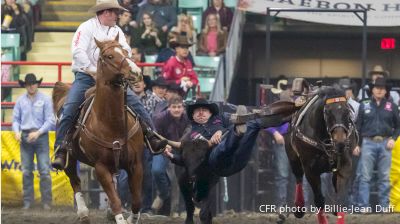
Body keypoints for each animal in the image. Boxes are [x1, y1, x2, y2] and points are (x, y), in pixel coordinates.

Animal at [52, 34, 144, 223]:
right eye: (109, 56)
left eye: (125, 51)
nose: (136, 72)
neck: (111, 122)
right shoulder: (101, 167)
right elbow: (116, 201)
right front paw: (119, 217)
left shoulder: (136, 164)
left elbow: (136, 200)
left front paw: (131, 218)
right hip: (69, 157)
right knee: (75, 181)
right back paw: (83, 213)